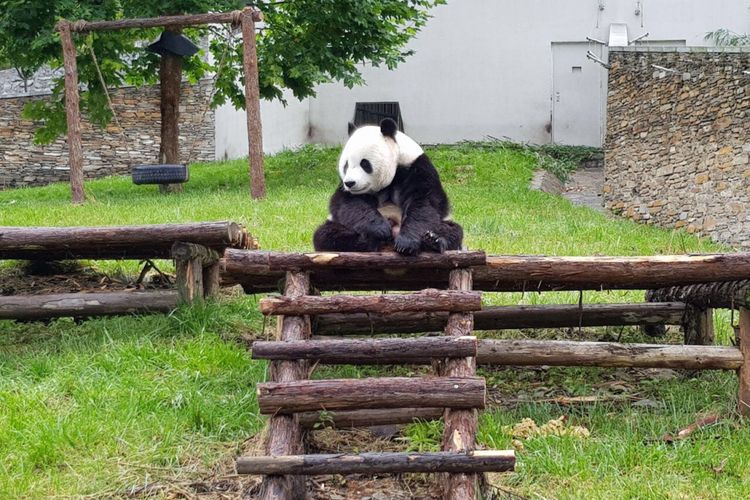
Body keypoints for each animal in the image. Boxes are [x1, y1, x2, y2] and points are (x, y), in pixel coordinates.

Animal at [313, 118, 463, 255]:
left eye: (364, 163)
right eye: (346, 165)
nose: (350, 183)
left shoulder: (418, 168)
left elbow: (424, 204)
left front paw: (406, 243)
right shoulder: (346, 189)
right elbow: (349, 203)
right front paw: (381, 229)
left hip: (444, 223)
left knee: (453, 231)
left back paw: (433, 240)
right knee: (325, 234)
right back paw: (369, 240)